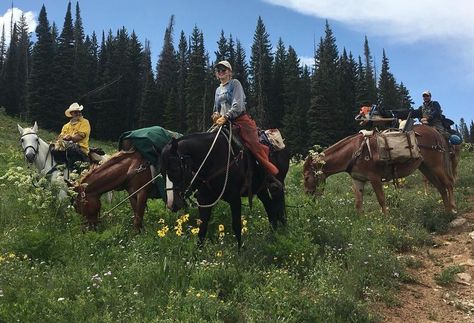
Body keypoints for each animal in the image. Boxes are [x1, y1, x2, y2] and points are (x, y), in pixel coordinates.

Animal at [161, 130, 290, 249]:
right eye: (161, 173)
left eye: (175, 169)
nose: (171, 204)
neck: (211, 160)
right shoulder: (204, 200)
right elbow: (202, 227)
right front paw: (198, 252)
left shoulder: (234, 198)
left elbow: (236, 225)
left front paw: (240, 252)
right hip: (261, 190)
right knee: (270, 208)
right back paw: (272, 235)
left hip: (277, 183)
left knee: (279, 202)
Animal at [304, 125, 460, 214]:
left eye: (306, 177)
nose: (308, 198)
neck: (354, 152)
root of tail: (435, 132)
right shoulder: (358, 179)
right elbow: (358, 203)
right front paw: (359, 223)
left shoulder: (374, 178)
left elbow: (381, 200)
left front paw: (386, 220)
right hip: (425, 167)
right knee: (440, 187)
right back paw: (446, 212)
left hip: (436, 165)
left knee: (448, 183)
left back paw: (453, 208)